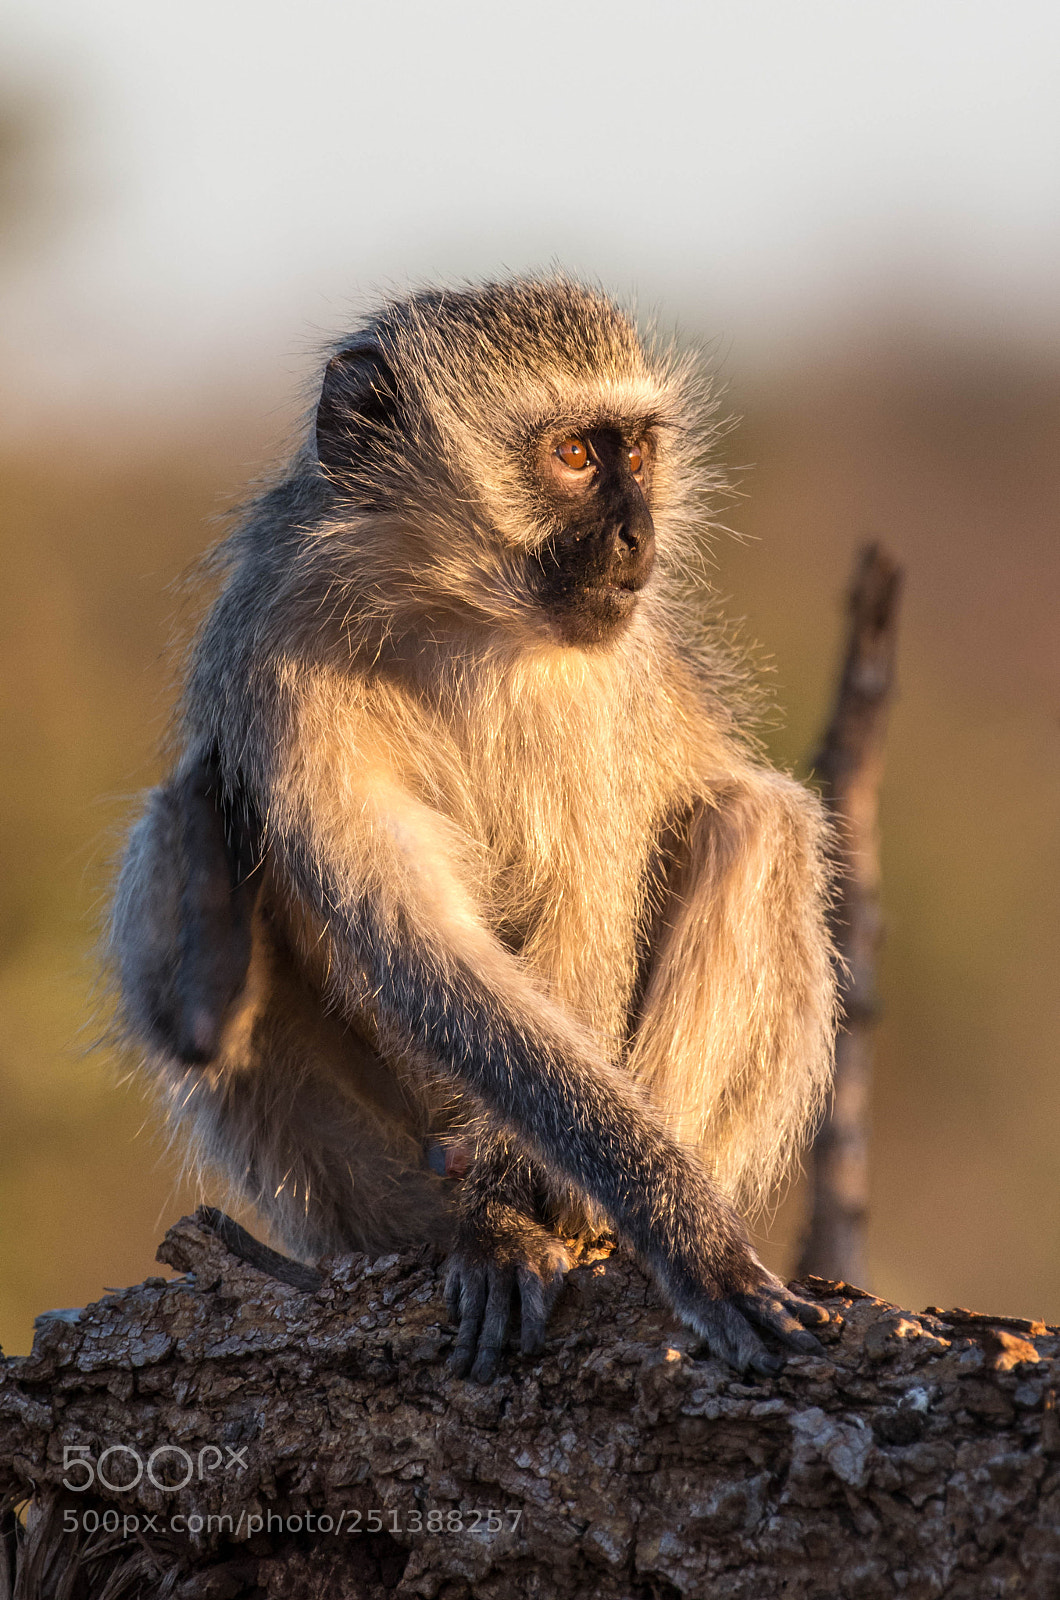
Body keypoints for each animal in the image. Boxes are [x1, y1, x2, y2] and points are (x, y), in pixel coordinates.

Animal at [111, 276, 837, 1383]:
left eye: (638, 453)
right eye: (574, 455)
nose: (639, 536)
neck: (453, 609)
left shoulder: (597, 683)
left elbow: (585, 918)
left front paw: (670, 1228)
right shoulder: (279, 650)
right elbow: (415, 939)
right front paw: (498, 1225)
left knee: (761, 827)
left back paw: (583, 1215)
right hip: (372, 1174)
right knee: (195, 922)